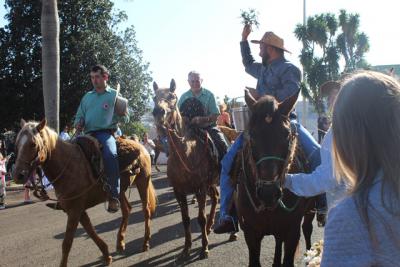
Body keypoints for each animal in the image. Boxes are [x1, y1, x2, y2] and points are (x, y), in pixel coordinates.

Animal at [12, 120, 156, 267]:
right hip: (119, 191)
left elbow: (67, 242)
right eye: (17, 144)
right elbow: (90, 231)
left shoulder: (75, 210)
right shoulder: (77, 210)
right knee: (127, 210)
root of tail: (141, 146)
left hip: (143, 182)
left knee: (146, 210)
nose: (18, 175)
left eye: (33, 144)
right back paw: (120, 243)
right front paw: (106, 254)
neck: (68, 167)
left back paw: (145, 243)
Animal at [153, 79, 222, 260]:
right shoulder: (179, 191)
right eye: (154, 97)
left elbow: (200, 218)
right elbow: (185, 219)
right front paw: (186, 248)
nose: (158, 112)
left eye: (172, 96)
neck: (185, 155)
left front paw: (204, 248)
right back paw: (211, 226)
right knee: (216, 197)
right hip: (211, 184)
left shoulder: (200, 189)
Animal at [233, 91, 318, 266]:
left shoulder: (292, 230)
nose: (268, 193)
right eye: (252, 135)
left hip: (309, 211)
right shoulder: (250, 233)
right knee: (279, 240)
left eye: (286, 135)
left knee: (307, 229)